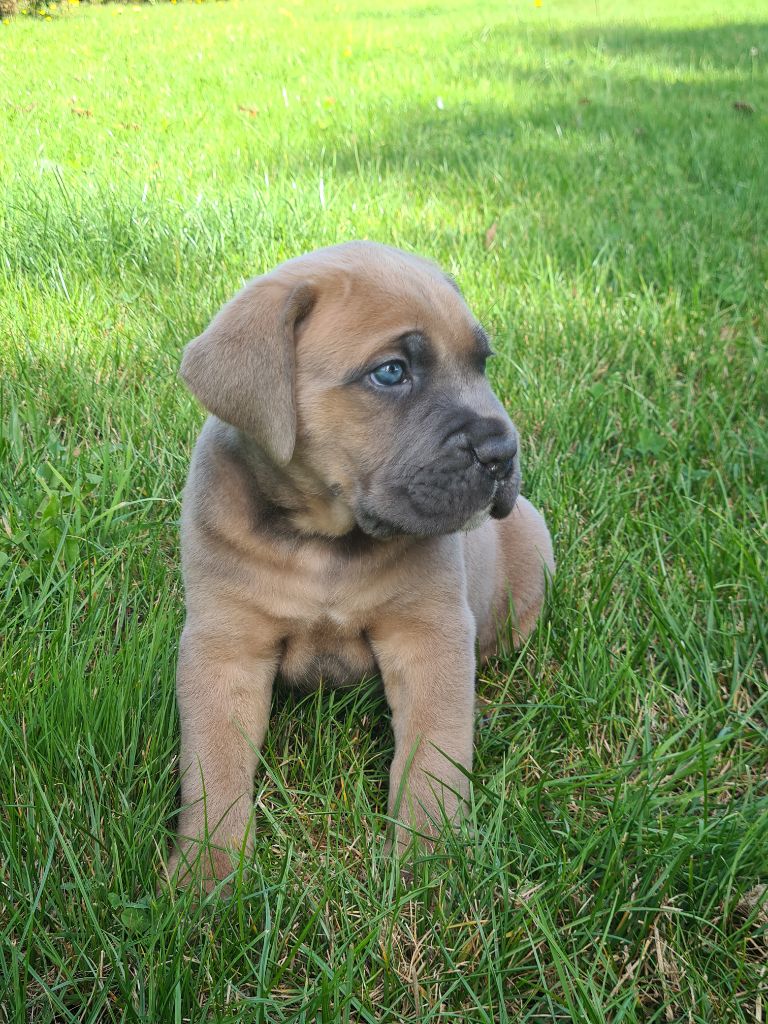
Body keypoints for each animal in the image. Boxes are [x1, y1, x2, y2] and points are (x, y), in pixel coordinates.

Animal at [166, 241, 552, 888]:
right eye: (391, 372)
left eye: (482, 364)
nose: (503, 453)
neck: (327, 543)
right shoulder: (224, 647)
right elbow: (213, 763)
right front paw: (208, 872)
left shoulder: (429, 635)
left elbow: (434, 753)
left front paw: (430, 857)